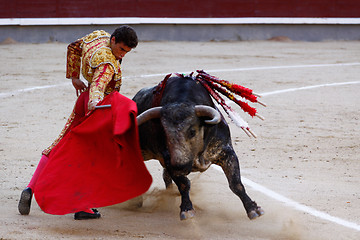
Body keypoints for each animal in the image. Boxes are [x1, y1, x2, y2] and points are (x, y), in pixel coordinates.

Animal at [134, 75, 262, 221]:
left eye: (192, 131)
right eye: (164, 132)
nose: (180, 167)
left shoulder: (226, 151)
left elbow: (236, 183)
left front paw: (253, 209)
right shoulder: (169, 161)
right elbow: (184, 184)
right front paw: (187, 209)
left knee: (165, 176)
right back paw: (137, 201)